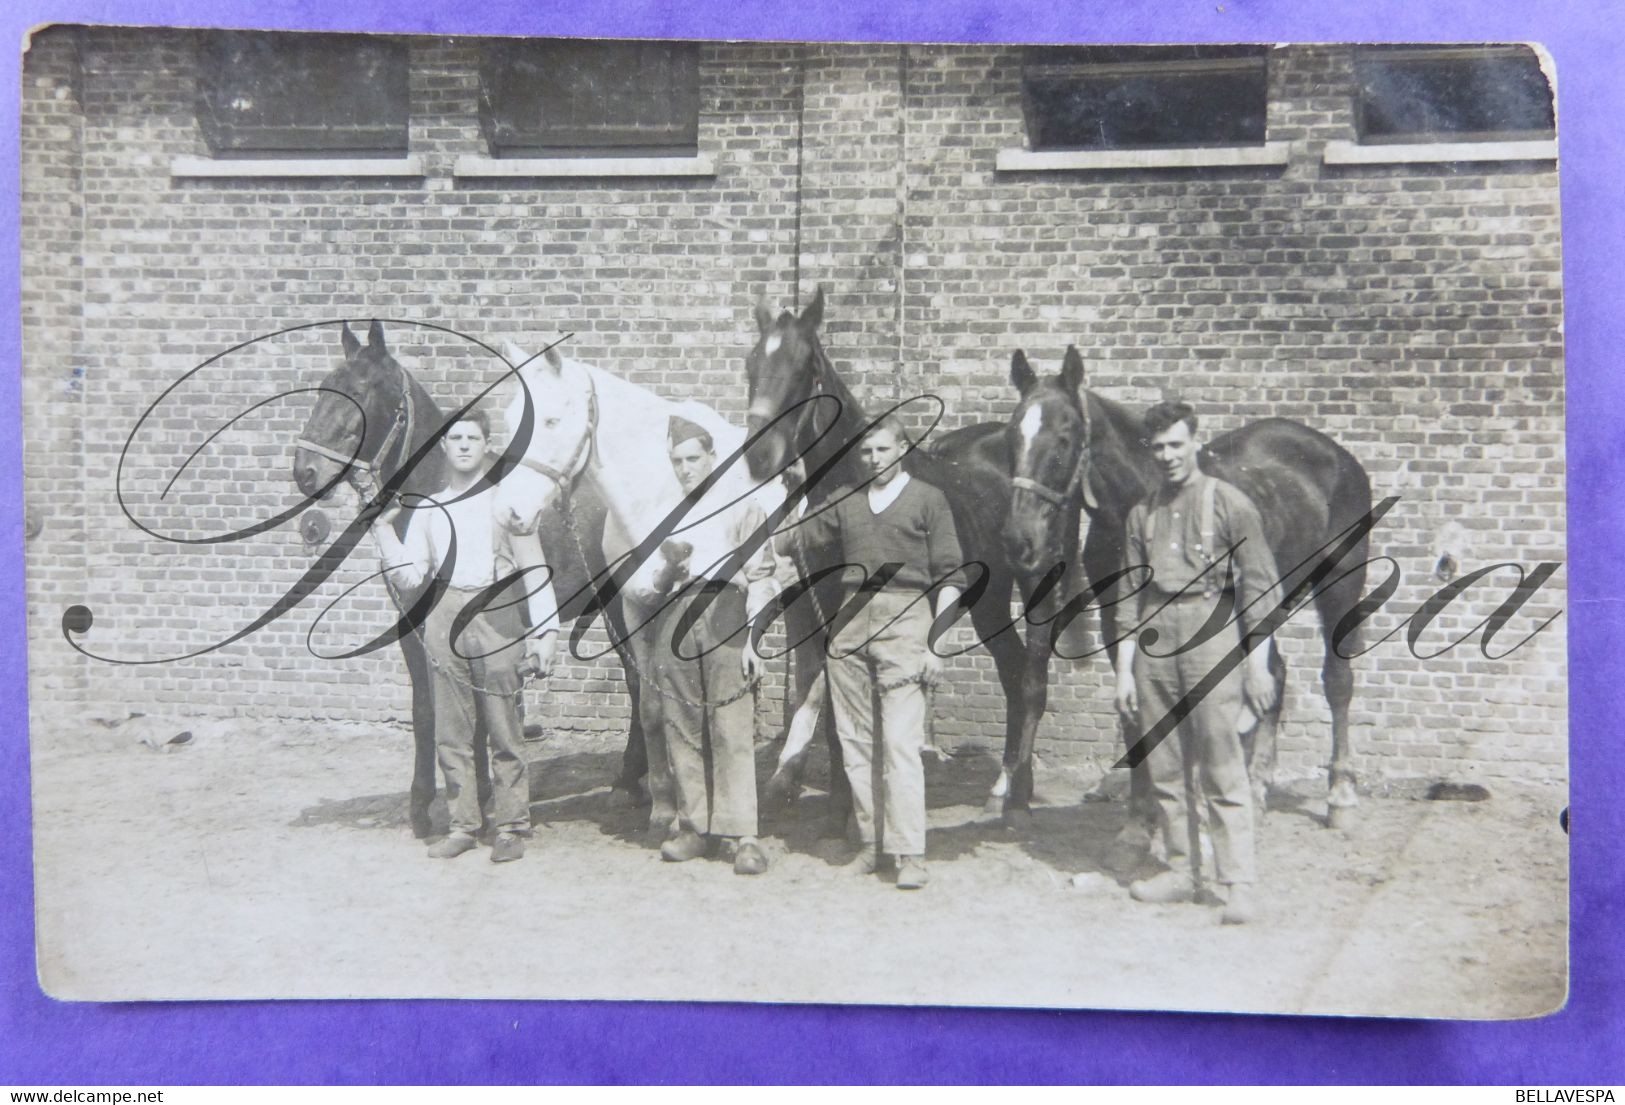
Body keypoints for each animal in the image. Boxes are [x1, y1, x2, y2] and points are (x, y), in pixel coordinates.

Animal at [292, 320, 633, 838]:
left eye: (361, 391)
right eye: (323, 389)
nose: (305, 473)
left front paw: (477, 799)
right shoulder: (415, 630)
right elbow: (427, 708)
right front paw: (428, 805)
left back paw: (634, 787)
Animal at [747, 289, 1079, 815]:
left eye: (806, 369)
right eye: (750, 364)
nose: (758, 455)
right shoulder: (815, 601)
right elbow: (826, 696)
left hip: (1038, 579)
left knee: (1032, 680)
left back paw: (1018, 798)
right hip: (987, 597)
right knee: (1011, 670)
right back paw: (1002, 786)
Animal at [1001, 349, 1371, 825]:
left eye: (1065, 437)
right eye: (1011, 436)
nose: (1019, 540)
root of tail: (1339, 457)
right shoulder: (1117, 620)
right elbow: (1135, 707)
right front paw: (1141, 813)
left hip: (1341, 584)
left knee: (1337, 680)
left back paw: (1339, 795)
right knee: (1275, 674)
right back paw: (1258, 788)